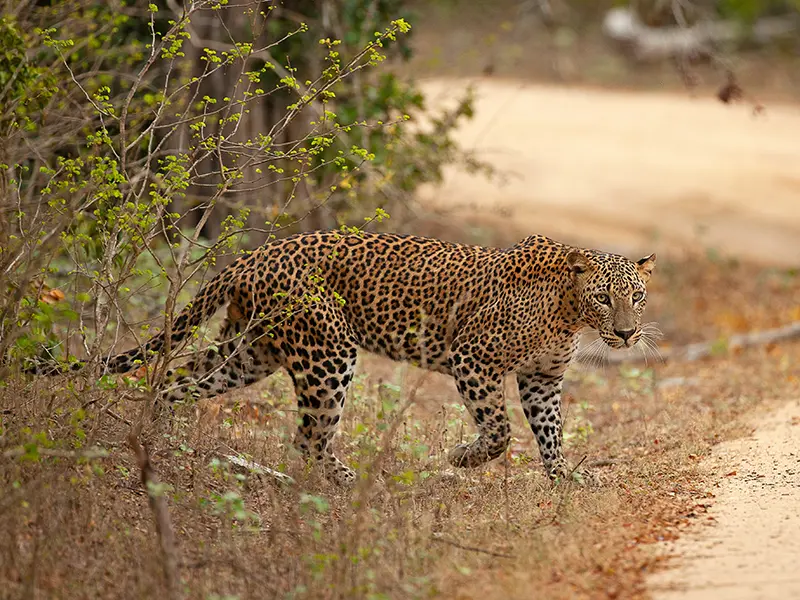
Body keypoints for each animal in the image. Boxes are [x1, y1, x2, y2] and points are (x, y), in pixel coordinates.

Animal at [28, 231, 656, 486]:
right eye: (605, 297)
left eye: (637, 296)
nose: (626, 335)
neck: (570, 311)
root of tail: (254, 254)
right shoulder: (472, 358)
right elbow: (500, 431)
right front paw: (464, 459)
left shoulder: (542, 379)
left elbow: (551, 433)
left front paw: (563, 479)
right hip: (328, 353)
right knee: (308, 437)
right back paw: (349, 481)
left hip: (248, 351)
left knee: (174, 382)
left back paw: (152, 438)